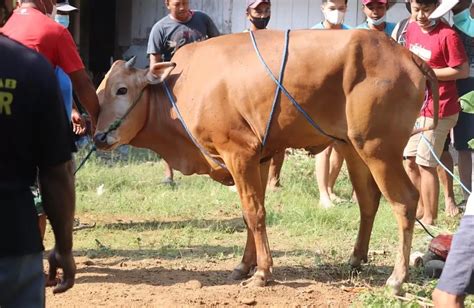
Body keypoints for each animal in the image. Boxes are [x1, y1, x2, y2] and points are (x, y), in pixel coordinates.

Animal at [94, 29, 438, 294]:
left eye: (122, 90)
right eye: (98, 92)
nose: (98, 137)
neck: (180, 90)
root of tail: (408, 55)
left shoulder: (239, 153)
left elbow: (254, 212)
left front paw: (262, 273)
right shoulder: (257, 159)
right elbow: (251, 214)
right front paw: (244, 266)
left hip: (380, 150)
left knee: (405, 202)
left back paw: (397, 278)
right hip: (353, 149)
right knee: (368, 201)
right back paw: (356, 259)